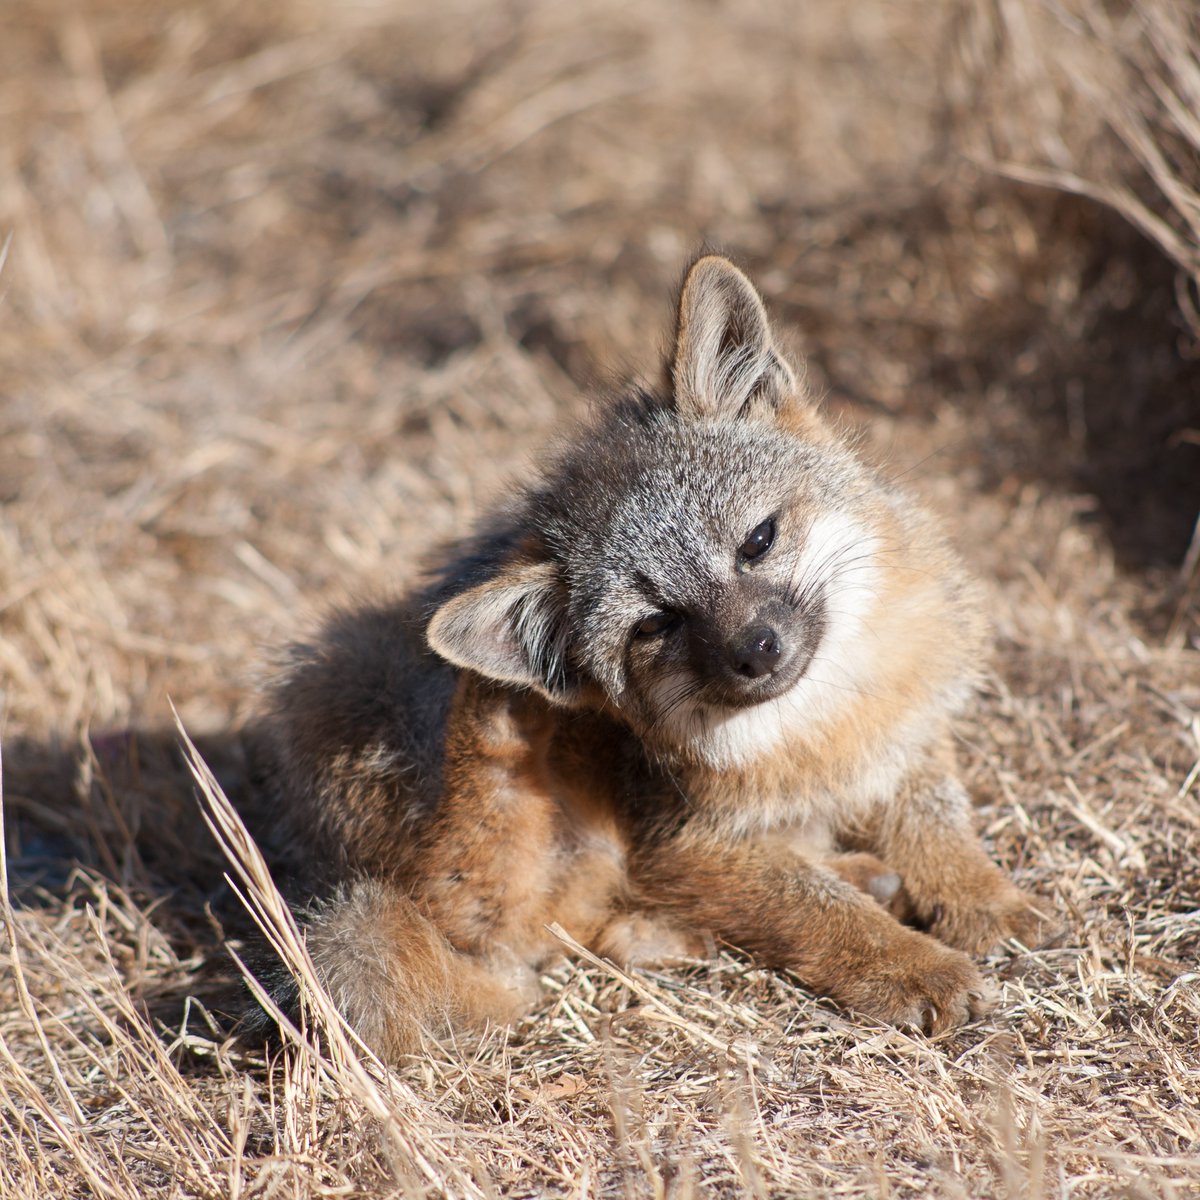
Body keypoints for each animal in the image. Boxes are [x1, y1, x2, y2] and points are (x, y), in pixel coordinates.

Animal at [248, 255, 1056, 1060]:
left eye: (757, 540)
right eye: (657, 624)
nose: (755, 651)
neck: (823, 727)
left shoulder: (906, 738)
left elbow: (936, 824)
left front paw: (984, 898)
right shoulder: (677, 842)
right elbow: (815, 909)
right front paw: (910, 964)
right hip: (371, 707)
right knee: (494, 914)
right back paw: (503, 723)